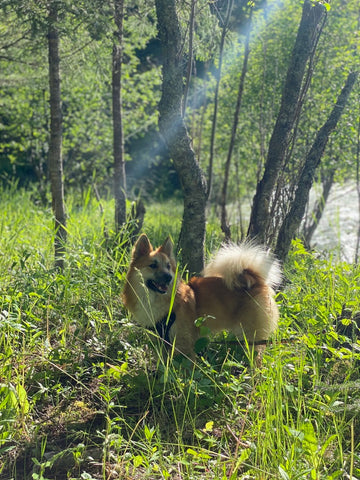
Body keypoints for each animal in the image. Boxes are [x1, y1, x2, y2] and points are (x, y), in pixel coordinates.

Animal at [123, 234, 282, 358]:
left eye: (168, 266)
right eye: (153, 265)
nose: (168, 277)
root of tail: (257, 281)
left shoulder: (184, 343)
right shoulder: (160, 342)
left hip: (251, 335)